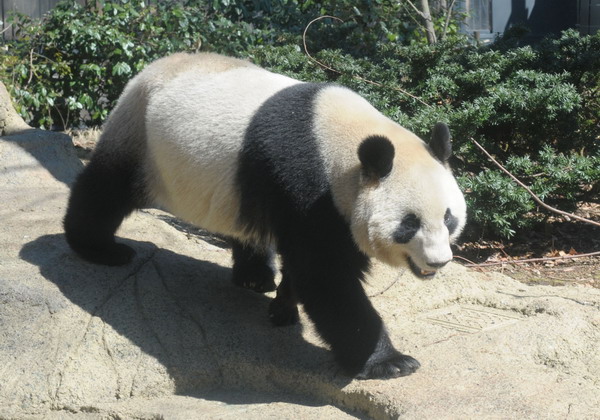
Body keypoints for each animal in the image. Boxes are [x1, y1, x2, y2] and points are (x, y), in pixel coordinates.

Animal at [65, 50, 468, 378]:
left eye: (449, 218)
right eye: (409, 223)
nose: (439, 261)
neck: (343, 146)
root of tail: (151, 67)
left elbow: (309, 262)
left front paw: (283, 307)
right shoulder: (308, 179)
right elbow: (325, 276)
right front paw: (389, 361)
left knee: (245, 225)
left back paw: (256, 277)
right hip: (142, 134)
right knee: (107, 188)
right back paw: (100, 248)